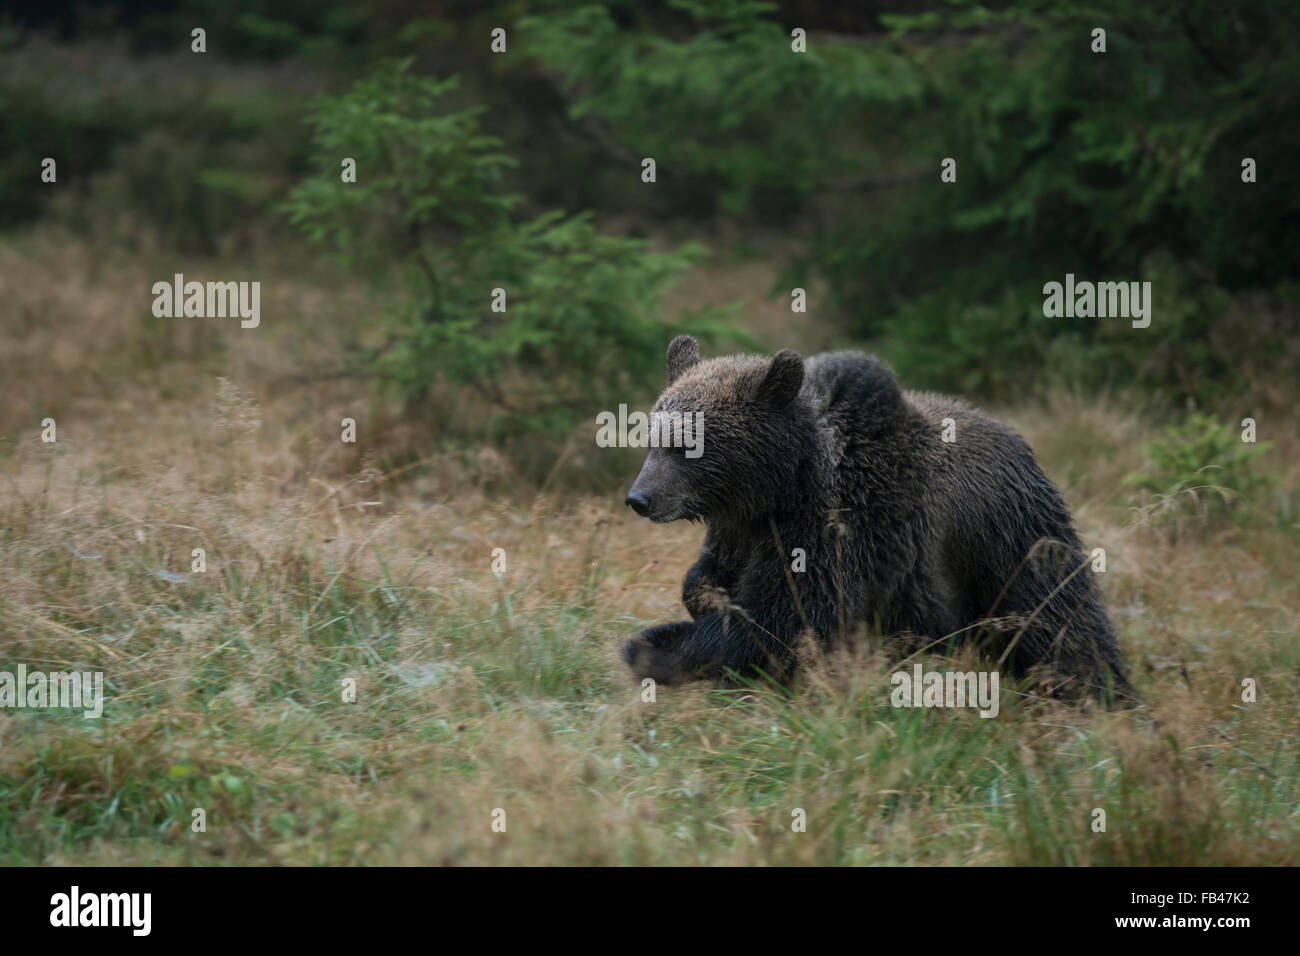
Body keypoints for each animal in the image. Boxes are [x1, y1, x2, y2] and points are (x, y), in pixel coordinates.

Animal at [624, 335, 1133, 702]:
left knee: (1057, 617)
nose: (640, 498)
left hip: (1009, 538)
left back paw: (1099, 694)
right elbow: (714, 580)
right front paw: (694, 608)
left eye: (686, 445)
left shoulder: (839, 528)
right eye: (653, 436)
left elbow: (790, 620)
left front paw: (660, 649)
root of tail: (1022, 444)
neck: (782, 486)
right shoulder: (742, 529)